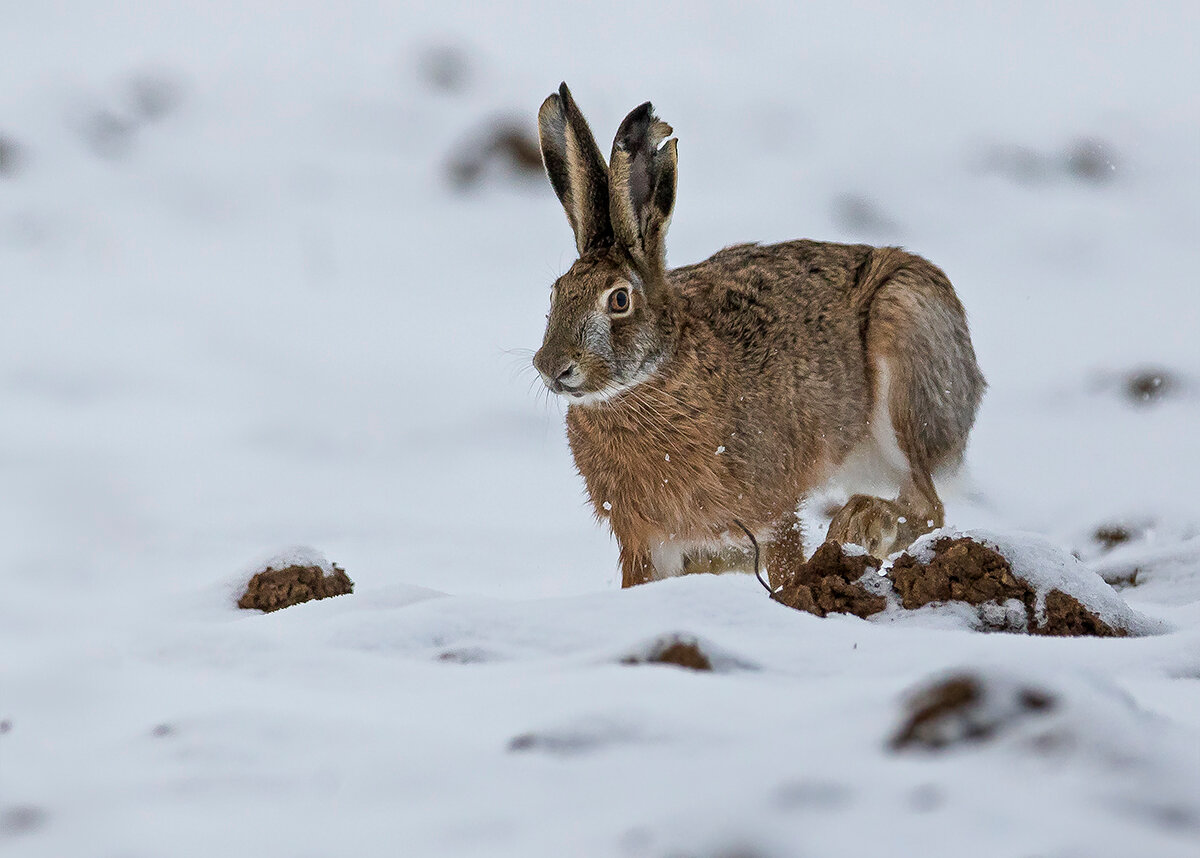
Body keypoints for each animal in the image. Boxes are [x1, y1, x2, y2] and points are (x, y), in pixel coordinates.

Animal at [532, 83, 985, 589]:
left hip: (904, 339)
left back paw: (859, 526)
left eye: (619, 300)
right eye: (555, 293)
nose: (550, 366)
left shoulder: (770, 510)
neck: (650, 383)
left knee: (928, 506)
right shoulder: (647, 542)